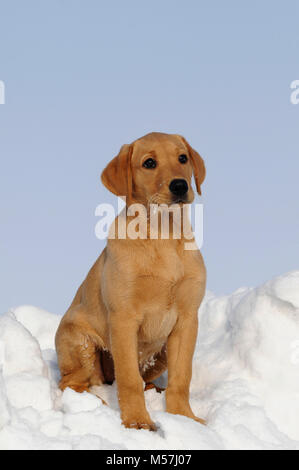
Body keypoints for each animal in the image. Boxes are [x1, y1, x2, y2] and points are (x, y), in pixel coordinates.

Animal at [55, 131, 206, 430]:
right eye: (149, 163)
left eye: (183, 158)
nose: (180, 185)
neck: (163, 234)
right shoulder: (124, 319)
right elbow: (128, 380)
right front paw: (137, 421)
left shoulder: (187, 320)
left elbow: (182, 377)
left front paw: (184, 418)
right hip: (82, 345)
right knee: (71, 383)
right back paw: (94, 406)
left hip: (160, 352)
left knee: (142, 380)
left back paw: (155, 391)